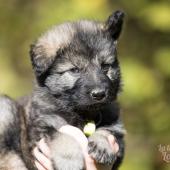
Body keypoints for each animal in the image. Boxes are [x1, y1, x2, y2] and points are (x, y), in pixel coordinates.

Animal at [0, 10, 125, 170]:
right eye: (75, 70)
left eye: (105, 66)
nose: (99, 94)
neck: (81, 112)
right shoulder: (42, 126)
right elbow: (63, 136)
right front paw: (69, 160)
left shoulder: (116, 129)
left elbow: (107, 131)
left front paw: (103, 145)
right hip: (6, 108)